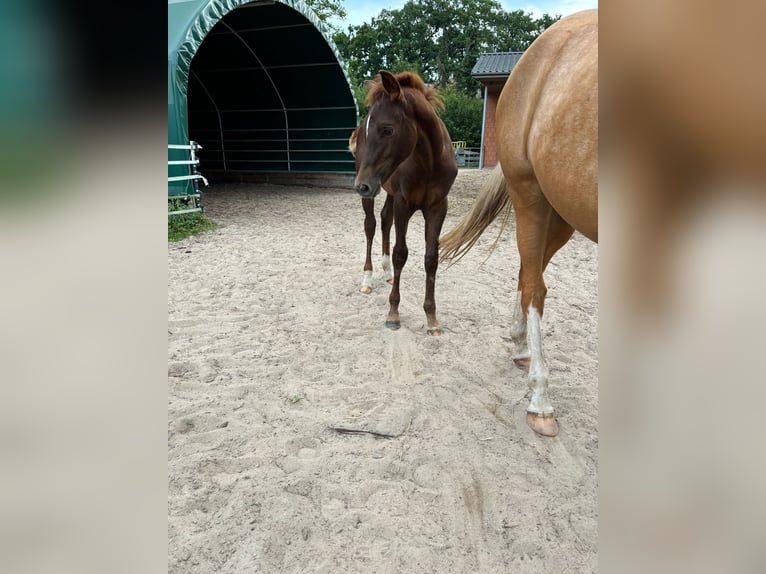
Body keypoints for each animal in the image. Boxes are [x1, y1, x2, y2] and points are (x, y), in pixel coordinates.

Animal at [352, 70, 456, 336]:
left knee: (385, 220)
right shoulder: (404, 203)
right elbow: (401, 253)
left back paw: (387, 272)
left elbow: (431, 258)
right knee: (371, 226)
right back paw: (367, 279)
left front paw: (432, 318)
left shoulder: (437, 207)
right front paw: (393, 313)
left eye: (387, 129)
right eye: (366, 131)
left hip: (385, 190)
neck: (429, 162)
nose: (361, 185)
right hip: (375, 193)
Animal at [438, 10, 600, 436]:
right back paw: (540, 399)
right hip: (532, 197)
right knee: (534, 285)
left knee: (529, 274)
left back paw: (521, 346)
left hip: (562, 214)